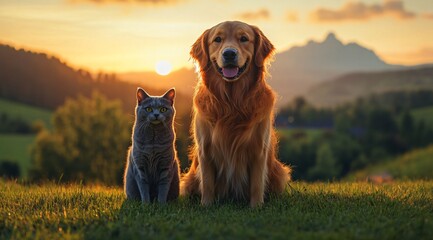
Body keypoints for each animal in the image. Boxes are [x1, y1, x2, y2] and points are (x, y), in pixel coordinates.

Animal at [179, 21, 290, 207]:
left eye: (244, 38)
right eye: (217, 39)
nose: (229, 53)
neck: (232, 104)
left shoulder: (259, 149)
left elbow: (257, 183)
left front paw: (256, 207)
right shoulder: (205, 149)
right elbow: (207, 183)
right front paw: (206, 205)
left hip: (279, 171)